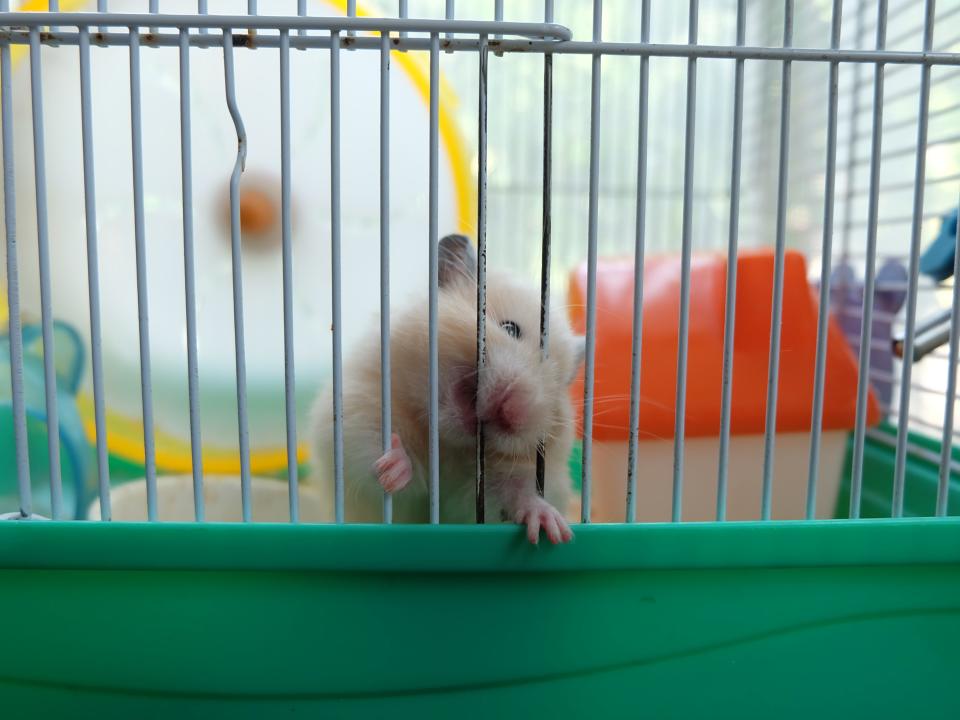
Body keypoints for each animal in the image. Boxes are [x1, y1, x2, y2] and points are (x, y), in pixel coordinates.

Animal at [310, 233, 584, 544]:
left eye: (557, 384)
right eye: (510, 328)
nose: (515, 412)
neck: (448, 444)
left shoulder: (492, 485)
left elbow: (515, 494)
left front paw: (554, 529)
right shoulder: (357, 409)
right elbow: (375, 456)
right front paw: (393, 466)